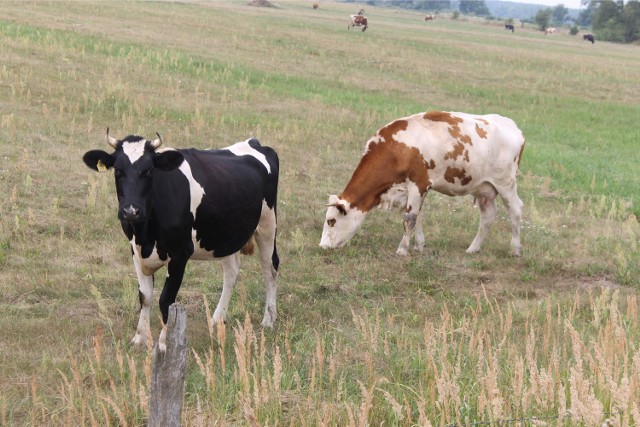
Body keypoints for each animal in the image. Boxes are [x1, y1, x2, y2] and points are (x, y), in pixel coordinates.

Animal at [82, 130, 278, 352]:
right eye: (118, 171)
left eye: (149, 170)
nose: (131, 211)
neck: (146, 234)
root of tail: (253, 142)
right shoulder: (135, 250)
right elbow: (145, 296)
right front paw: (140, 337)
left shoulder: (180, 253)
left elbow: (166, 300)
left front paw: (163, 343)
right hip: (225, 235)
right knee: (231, 273)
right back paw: (217, 319)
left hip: (267, 223)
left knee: (270, 268)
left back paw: (268, 320)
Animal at [320, 110, 524, 258]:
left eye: (331, 221)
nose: (322, 246)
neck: (397, 150)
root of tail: (513, 126)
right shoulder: (408, 189)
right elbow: (416, 216)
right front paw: (419, 245)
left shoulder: (418, 184)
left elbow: (409, 218)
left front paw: (402, 249)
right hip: (483, 189)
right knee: (488, 216)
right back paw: (473, 248)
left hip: (506, 184)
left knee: (515, 210)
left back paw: (515, 249)